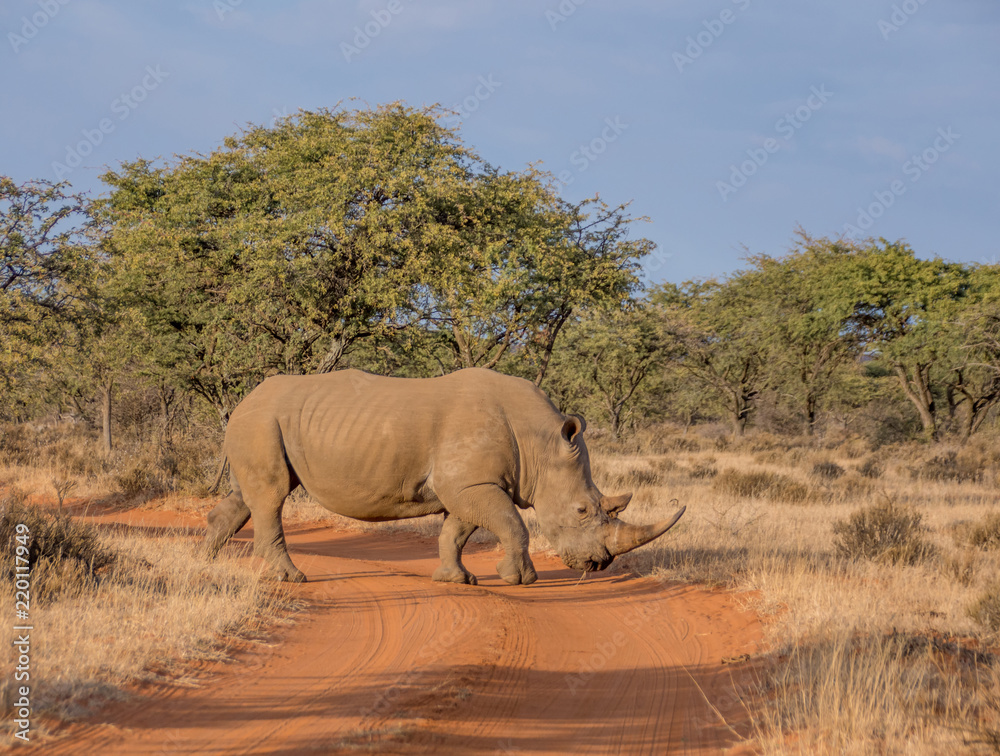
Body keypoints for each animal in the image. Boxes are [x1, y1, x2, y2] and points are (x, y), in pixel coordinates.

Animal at [204, 368, 685, 585]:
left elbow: (457, 530)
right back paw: (292, 579)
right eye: (583, 510)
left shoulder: (470, 485)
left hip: (259, 424)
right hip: (262, 422)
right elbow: (513, 524)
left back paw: (205, 560)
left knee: (247, 497)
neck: (541, 443)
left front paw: (458, 580)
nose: (598, 565)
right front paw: (520, 580)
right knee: (271, 497)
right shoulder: (472, 483)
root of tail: (242, 401)